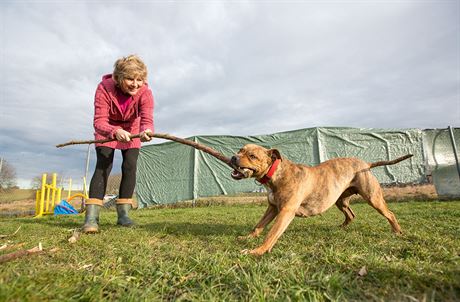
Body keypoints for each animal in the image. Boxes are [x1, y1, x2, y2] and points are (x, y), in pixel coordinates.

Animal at [230, 144, 414, 255]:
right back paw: (340, 228)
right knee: (351, 215)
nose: (233, 157)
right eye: (240, 150)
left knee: (390, 214)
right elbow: (258, 226)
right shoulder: (272, 208)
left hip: (373, 197)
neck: (275, 174)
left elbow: (271, 234)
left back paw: (397, 232)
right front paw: (247, 238)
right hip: (340, 200)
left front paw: (257, 251)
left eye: (252, 156)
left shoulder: (285, 212)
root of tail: (366, 164)